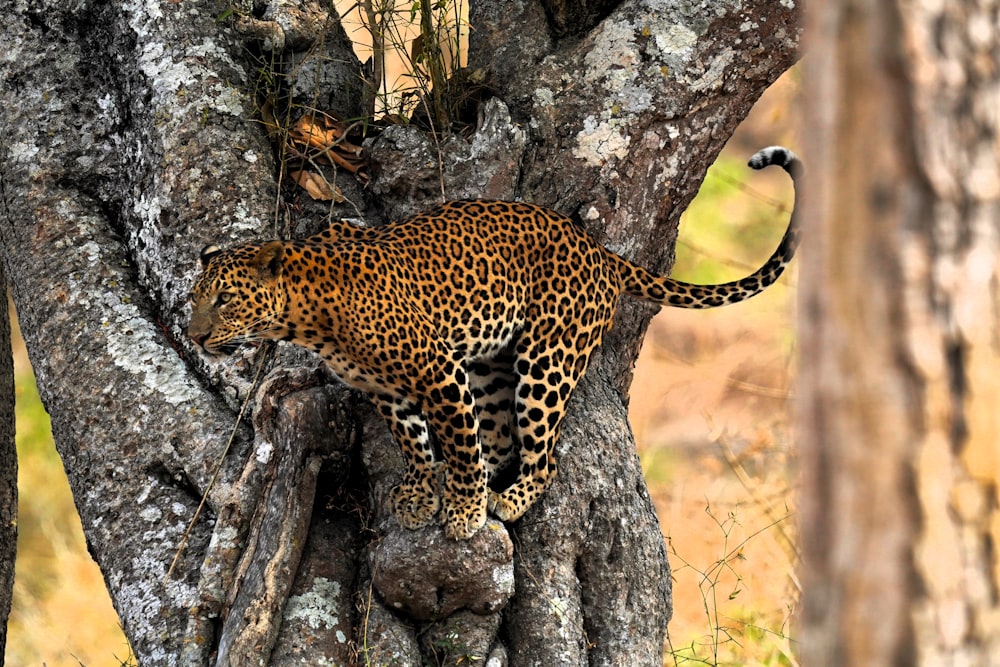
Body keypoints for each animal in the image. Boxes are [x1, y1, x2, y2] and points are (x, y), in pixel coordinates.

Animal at [188, 147, 800, 544]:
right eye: (196, 298)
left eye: (224, 299)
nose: (195, 336)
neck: (308, 317)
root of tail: (600, 251)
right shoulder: (388, 388)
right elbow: (414, 443)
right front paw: (419, 493)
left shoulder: (436, 371)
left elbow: (458, 448)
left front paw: (461, 512)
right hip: (487, 365)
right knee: (501, 439)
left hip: (546, 360)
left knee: (543, 456)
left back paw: (508, 496)